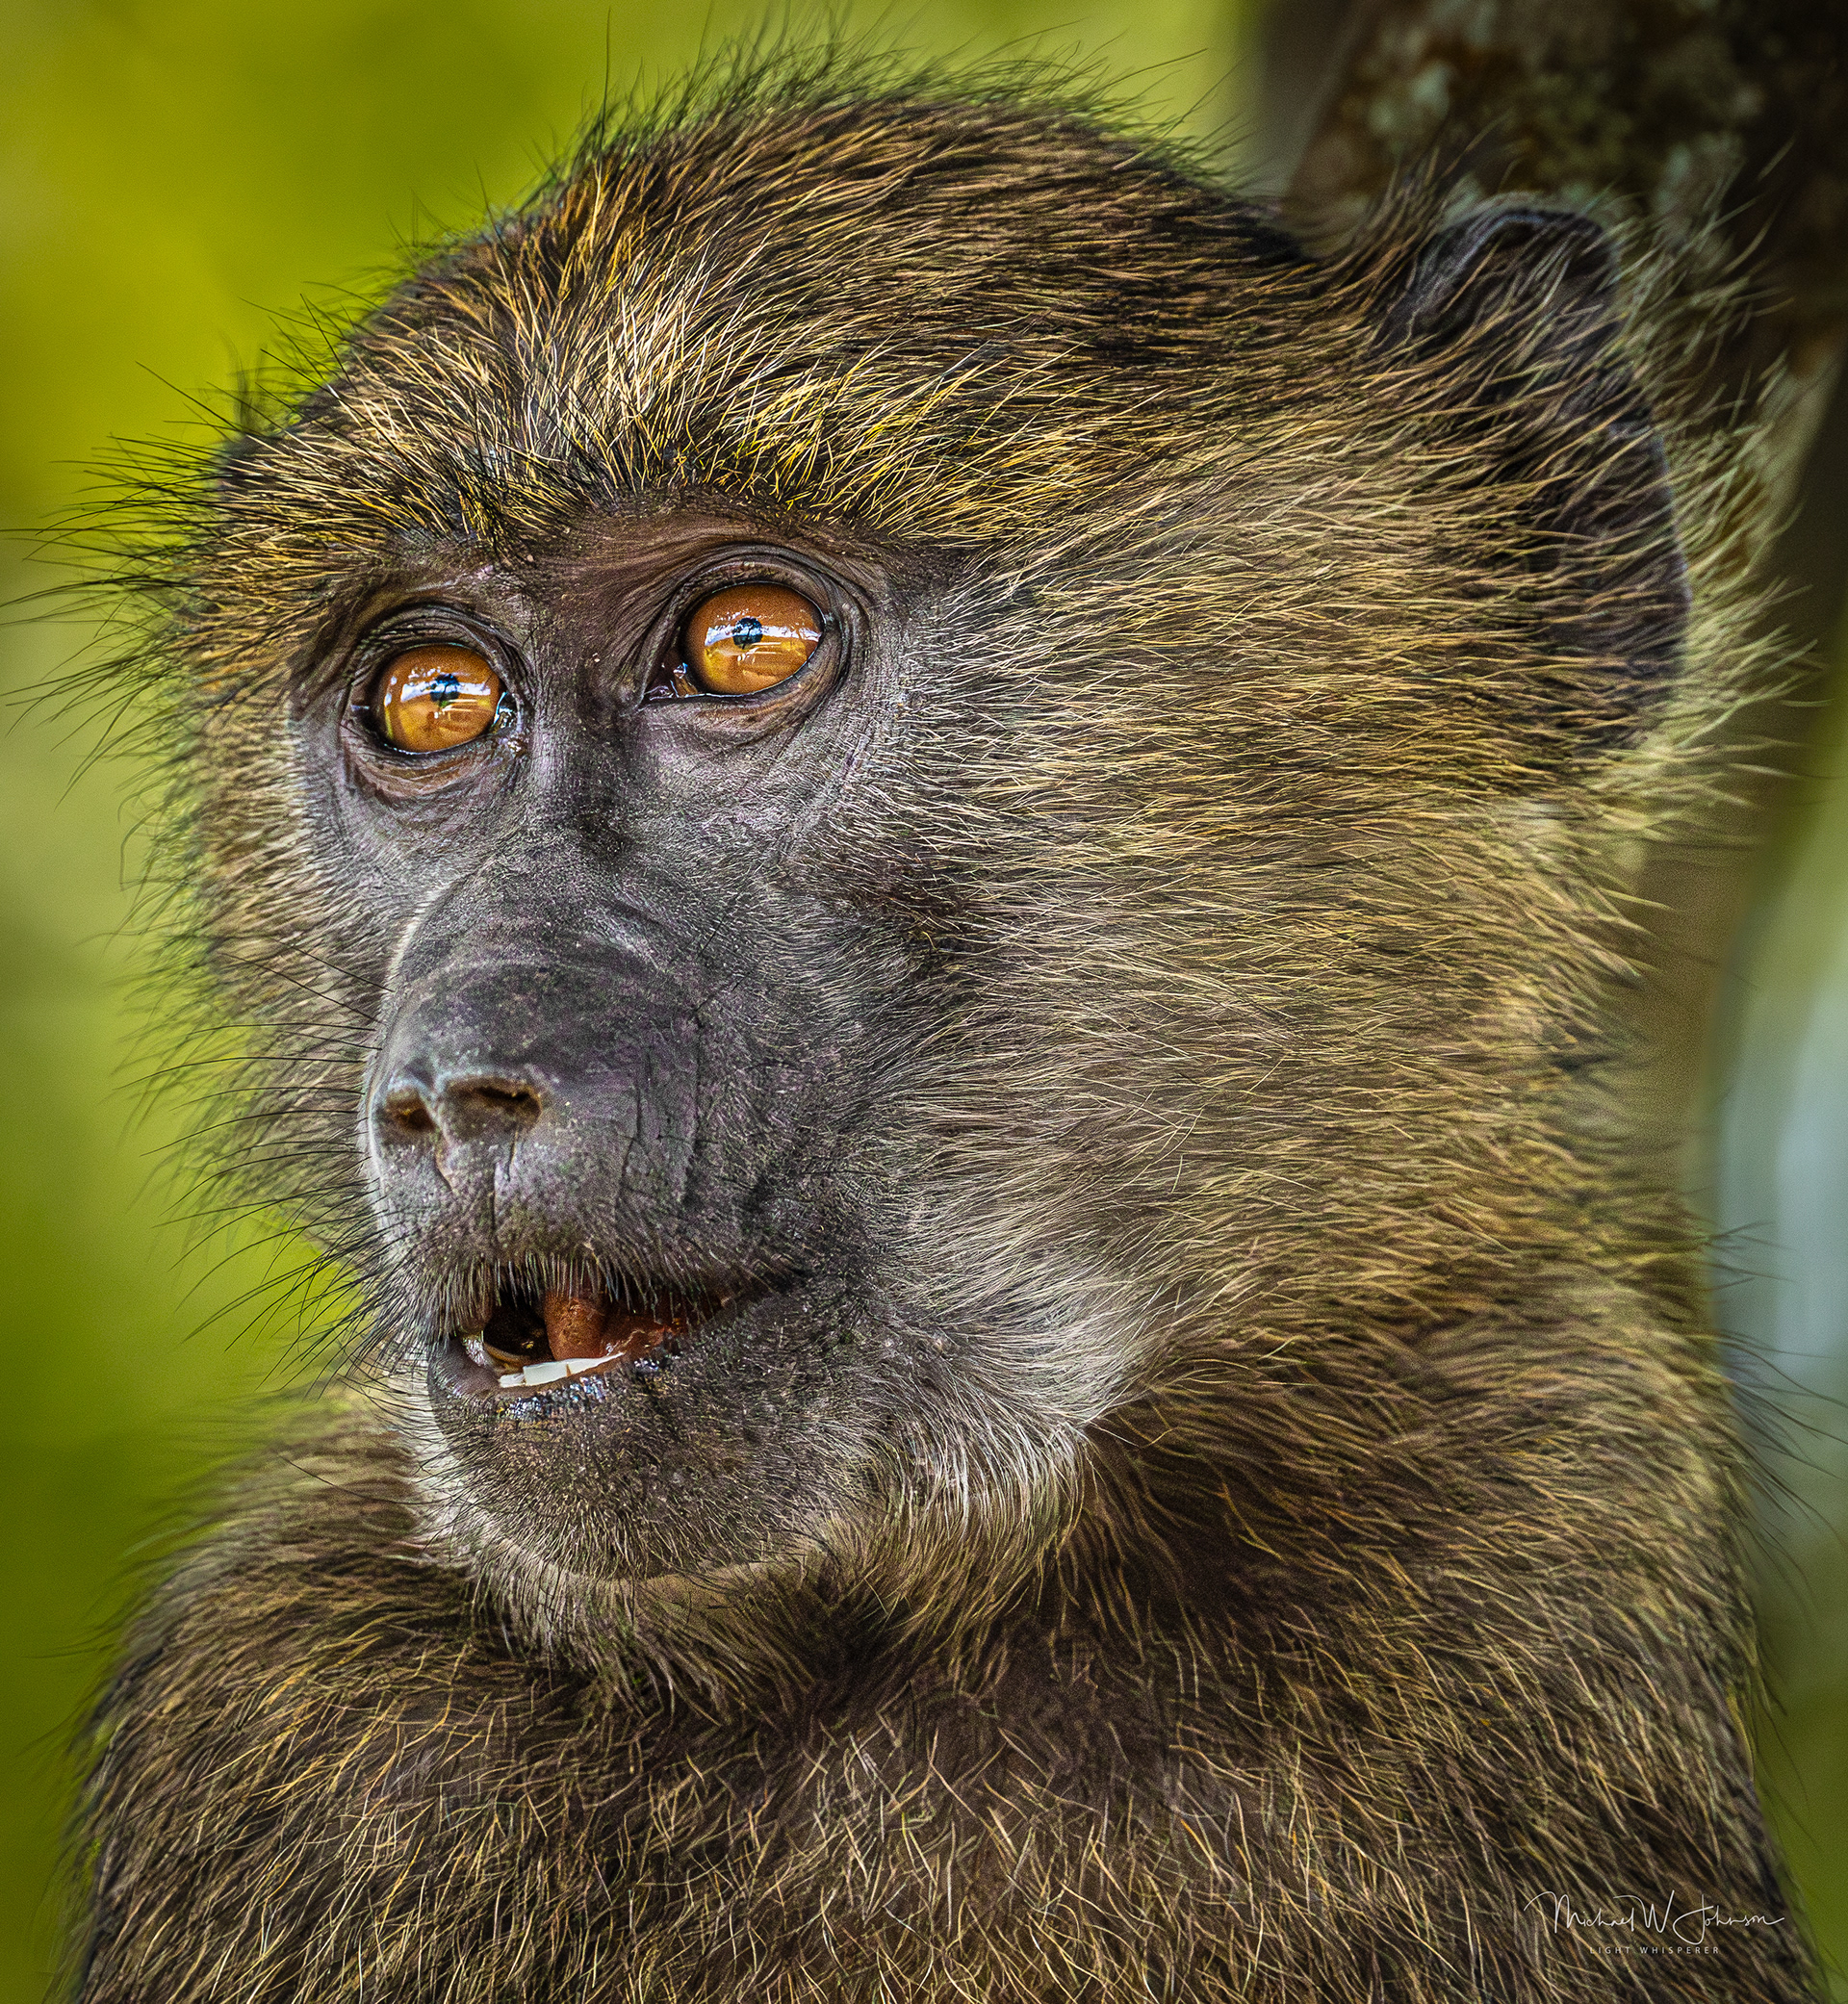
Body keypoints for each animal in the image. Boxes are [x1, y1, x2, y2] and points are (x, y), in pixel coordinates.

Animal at [64, 47, 1833, 2004]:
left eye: (744, 645)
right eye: (435, 700)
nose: (454, 1086)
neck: (919, 1608)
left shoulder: (1537, 1494)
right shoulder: (298, 1699)